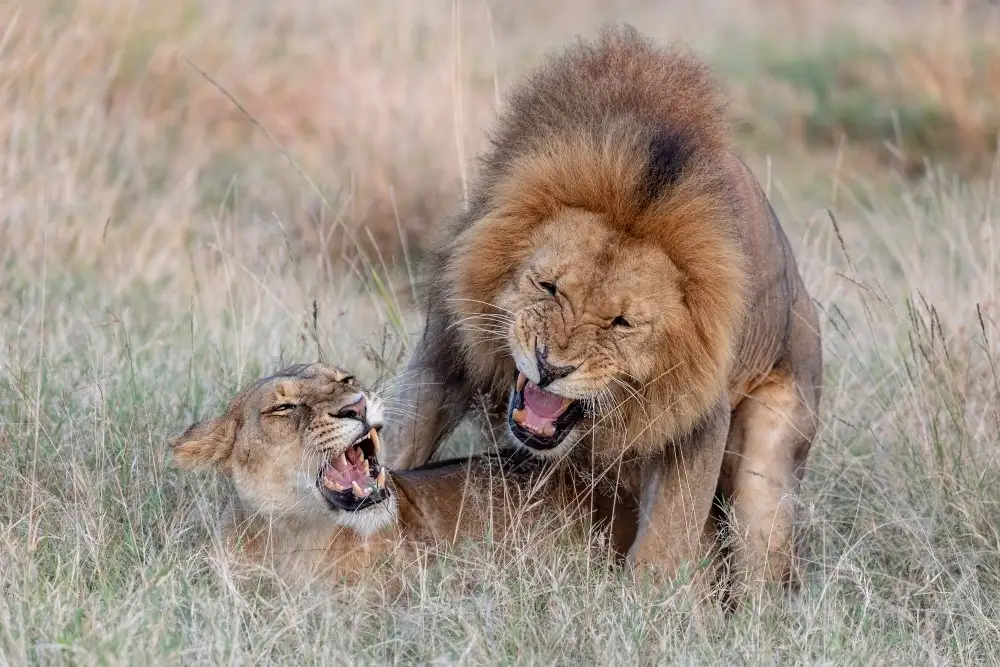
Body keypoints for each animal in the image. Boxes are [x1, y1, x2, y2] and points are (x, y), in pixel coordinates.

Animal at [386, 25, 823, 599]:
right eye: (548, 287)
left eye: (622, 323)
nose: (550, 367)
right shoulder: (445, 351)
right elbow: (394, 442)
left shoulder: (700, 417)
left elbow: (665, 543)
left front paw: (644, 608)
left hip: (772, 459)